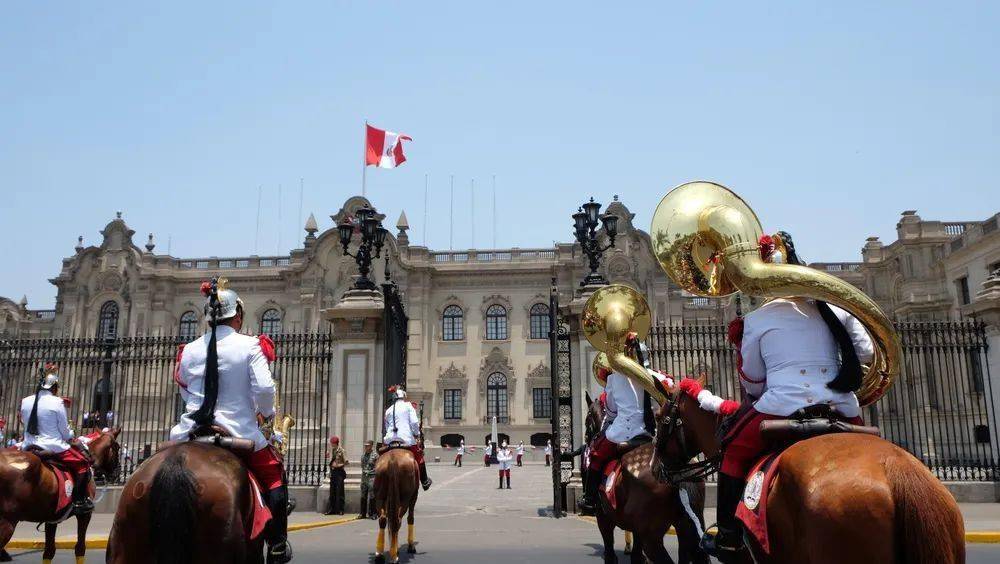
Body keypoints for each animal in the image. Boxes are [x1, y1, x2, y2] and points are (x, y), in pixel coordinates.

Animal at [0, 428, 122, 564]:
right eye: (117, 447)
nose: (117, 470)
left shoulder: (52, 519)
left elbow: (49, 551)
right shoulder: (85, 515)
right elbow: (80, 548)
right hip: (8, 521)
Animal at [584, 392, 712, 564]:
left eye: (587, 418)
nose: (588, 438)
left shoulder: (603, 517)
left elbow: (609, 549)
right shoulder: (636, 527)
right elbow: (637, 554)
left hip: (651, 537)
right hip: (687, 524)